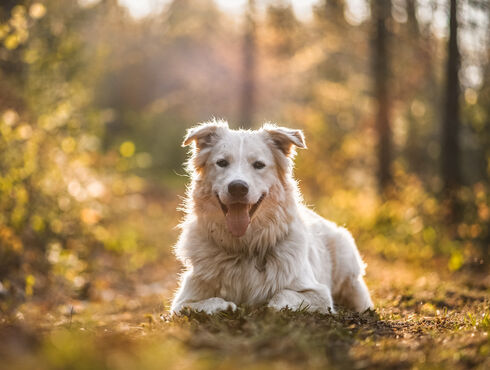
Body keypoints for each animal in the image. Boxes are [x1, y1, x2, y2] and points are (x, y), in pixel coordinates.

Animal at [170, 120, 374, 314]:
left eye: (259, 165)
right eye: (222, 163)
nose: (237, 187)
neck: (244, 248)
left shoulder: (319, 294)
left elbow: (281, 295)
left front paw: (264, 306)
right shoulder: (181, 302)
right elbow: (206, 302)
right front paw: (227, 306)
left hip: (347, 263)